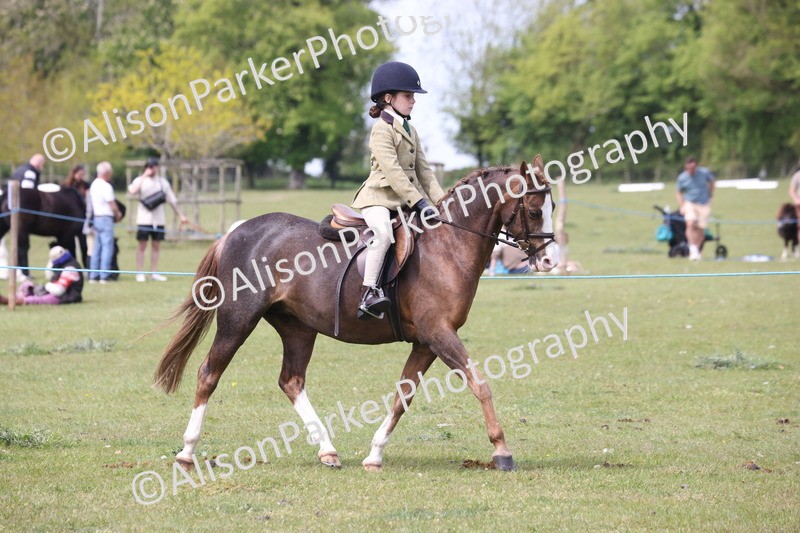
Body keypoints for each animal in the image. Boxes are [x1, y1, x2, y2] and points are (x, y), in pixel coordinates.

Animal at [154, 156, 558, 472]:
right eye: (535, 210)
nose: (549, 261)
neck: (447, 245)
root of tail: (235, 233)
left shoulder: (426, 342)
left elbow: (403, 396)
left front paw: (375, 455)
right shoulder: (440, 334)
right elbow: (480, 384)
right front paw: (502, 451)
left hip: (298, 327)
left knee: (291, 381)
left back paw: (328, 451)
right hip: (238, 321)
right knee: (209, 373)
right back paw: (187, 452)